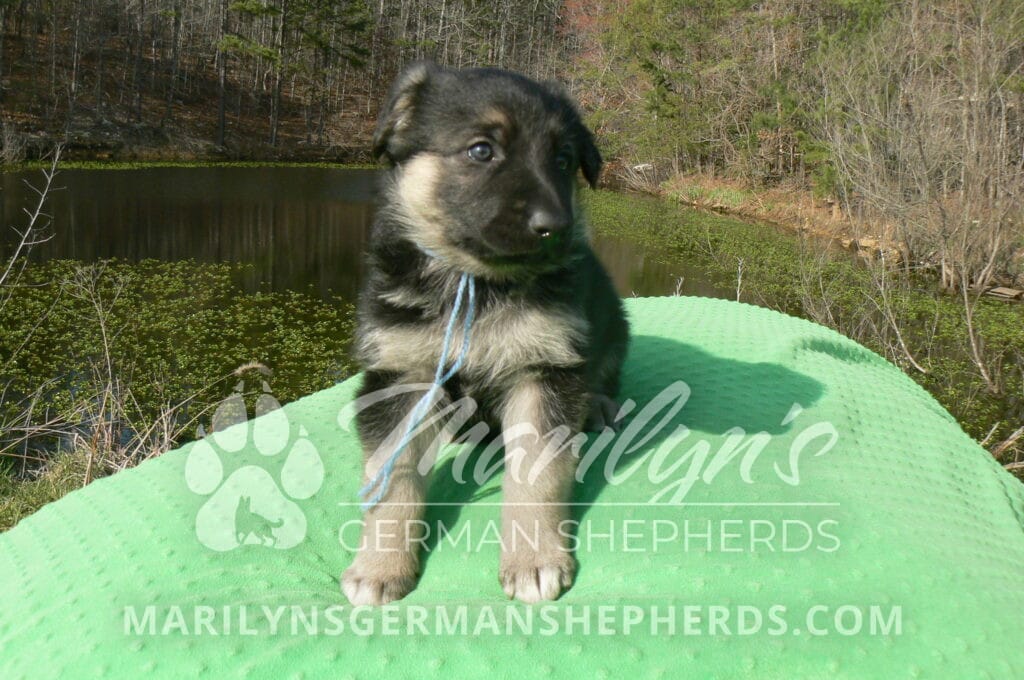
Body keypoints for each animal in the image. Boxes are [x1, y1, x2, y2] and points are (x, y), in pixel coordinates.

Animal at [342, 62, 629, 605]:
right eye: (481, 151)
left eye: (563, 160)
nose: (556, 226)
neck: (476, 281)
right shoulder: (399, 376)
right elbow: (392, 481)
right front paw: (380, 564)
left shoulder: (545, 368)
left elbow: (536, 475)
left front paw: (533, 559)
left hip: (613, 325)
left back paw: (600, 405)